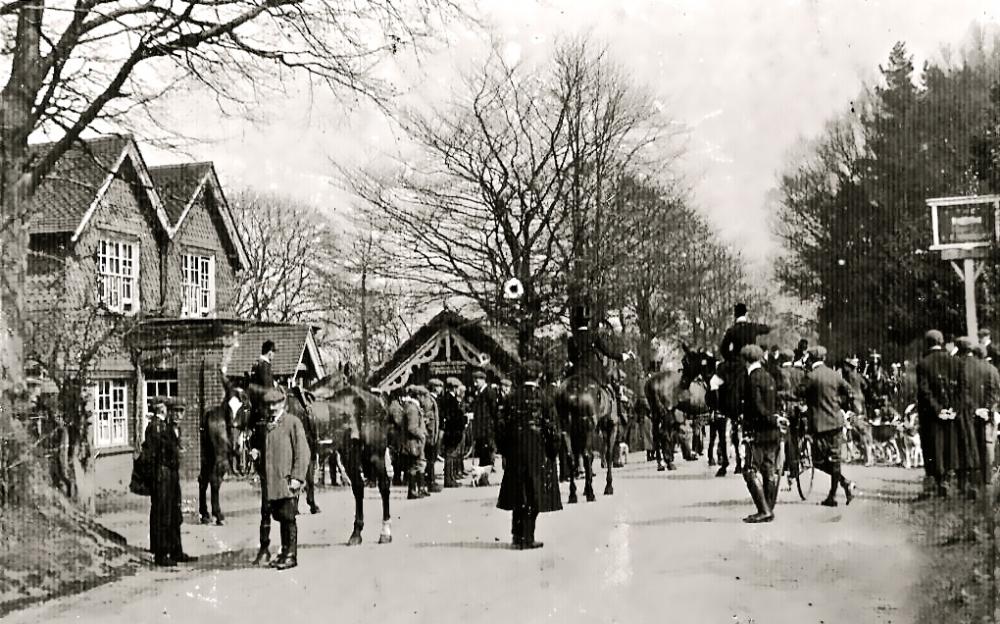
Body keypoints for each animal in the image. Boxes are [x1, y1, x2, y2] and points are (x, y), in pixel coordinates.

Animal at [298, 372, 396, 544]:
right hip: (349, 453)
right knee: (358, 486)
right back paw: (356, 533)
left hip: (374, 453)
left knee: (384, 485)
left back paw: (385, 532)